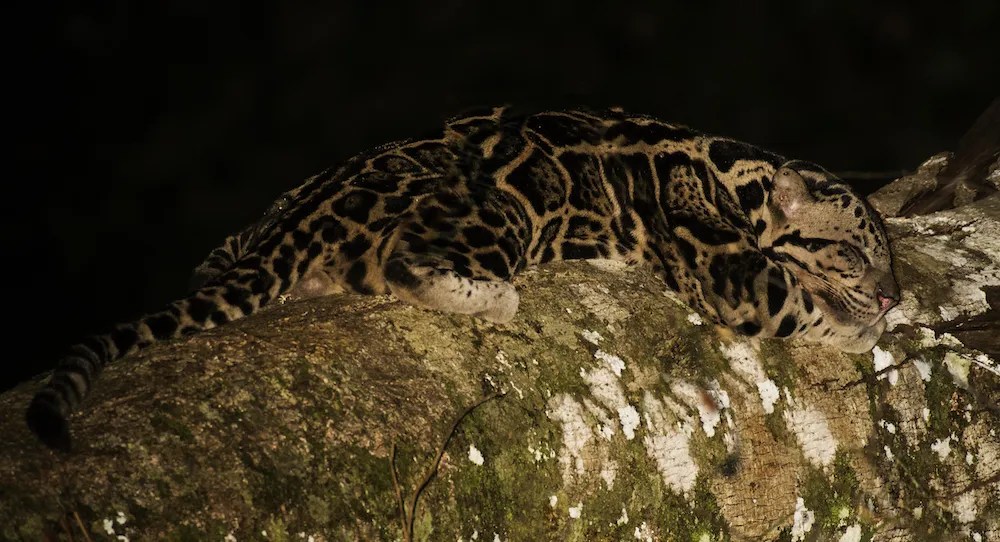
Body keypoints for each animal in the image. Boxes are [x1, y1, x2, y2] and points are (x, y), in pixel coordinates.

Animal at [27, 106, 899, 451]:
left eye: (887, 257)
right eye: (857, 255)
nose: (893, 291)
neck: (736, 169)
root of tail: (297, 222)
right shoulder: (729, 268)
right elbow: (800, 304)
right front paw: (861, 326)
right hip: (498, 210)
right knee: (407, 264)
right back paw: (490, 293)